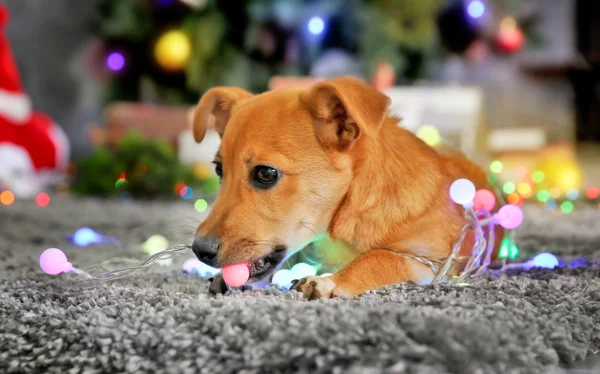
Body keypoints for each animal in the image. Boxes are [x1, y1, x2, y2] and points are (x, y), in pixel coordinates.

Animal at [193, 76, 502, 300]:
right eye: (219, 170)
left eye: (266, 173)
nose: (199, 251)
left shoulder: (433, 261)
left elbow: (379, 258)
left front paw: (330, 282)